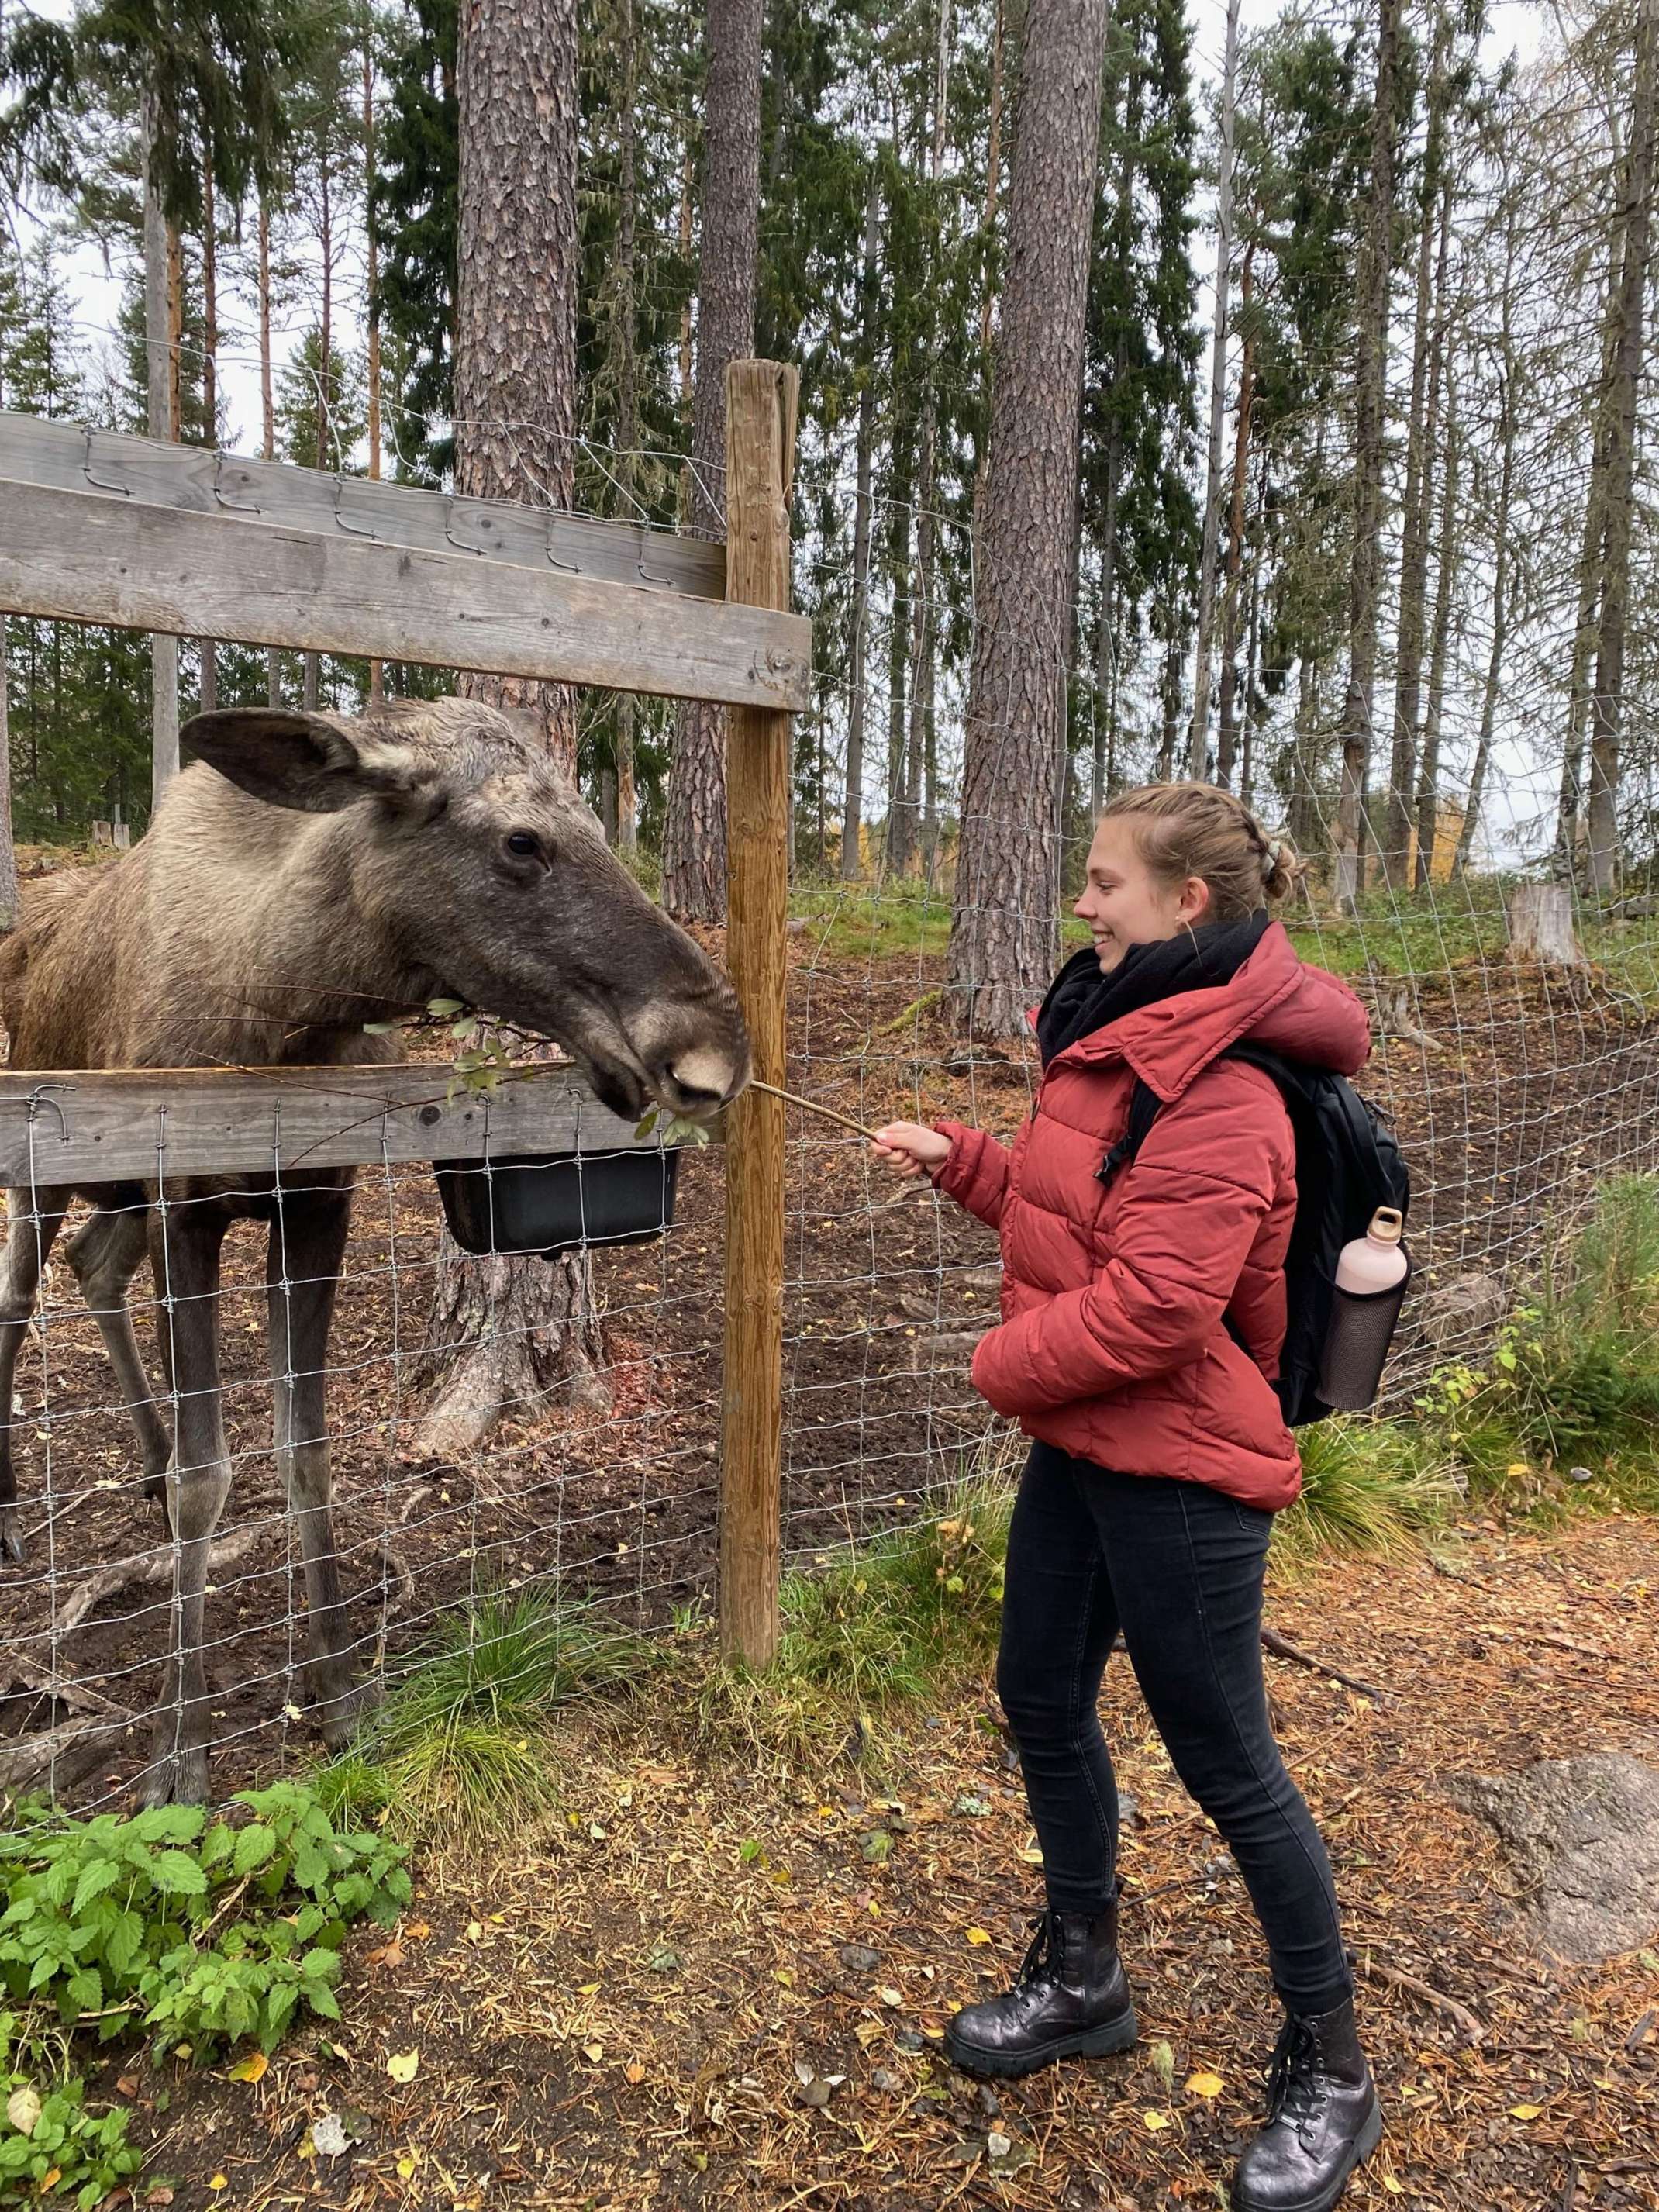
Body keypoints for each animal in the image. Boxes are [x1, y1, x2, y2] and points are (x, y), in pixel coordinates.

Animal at [0, 699, 747, 1805]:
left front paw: (339, 1685)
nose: (710, 1051)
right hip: (45, 1172)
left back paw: (145, 1452)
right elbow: (210, 1481)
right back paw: (18, 1501)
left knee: (96, 1267)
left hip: (116, 1198)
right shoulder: (187, 1208)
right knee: (19, 1302)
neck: (281, 1010)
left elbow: (304, 1453)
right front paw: (181, 1749)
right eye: (521, 842)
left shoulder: (318, 1206)